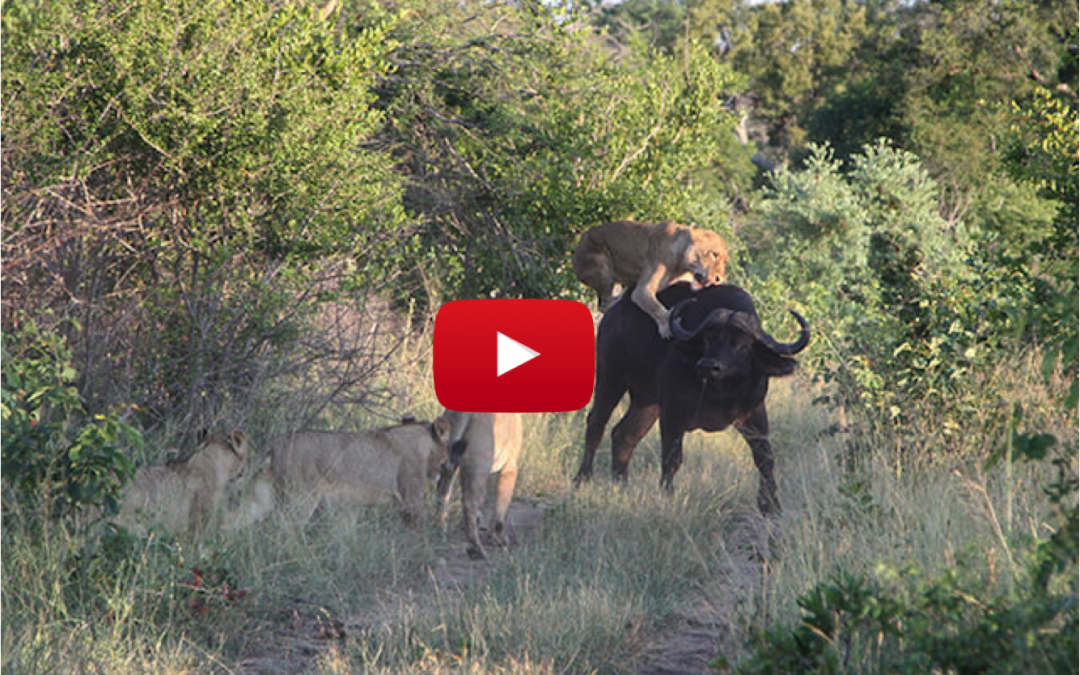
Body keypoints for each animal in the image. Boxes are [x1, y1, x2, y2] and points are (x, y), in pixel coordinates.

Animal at [436, 410, 524, 559]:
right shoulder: (510, 468)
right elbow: (501, 507)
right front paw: (499, 539)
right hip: (479, 467)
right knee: (469, 504)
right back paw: (476, 549)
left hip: (450, 468)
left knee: (442, 496)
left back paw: (440, 534)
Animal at [572, 219, 728, 338]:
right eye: (714, 254)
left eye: (725, 262)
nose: (718, 279)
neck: (681, 264)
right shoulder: (642, 291)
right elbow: (655, 307)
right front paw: (667, 327)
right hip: (602, 271)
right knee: (603, 305)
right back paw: (620, 297)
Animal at [574, 283, 809, 514]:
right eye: (708, 339)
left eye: (743, 345)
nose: (708, 366)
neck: (722, 392)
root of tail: (612, 316)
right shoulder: (672, 411)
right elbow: (672, 459)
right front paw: (667, 496)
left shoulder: (754, 411)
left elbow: (765, 458)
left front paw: (771, 506)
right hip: (610, 380)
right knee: (595, 426)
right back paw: (582, 479)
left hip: (646, 402)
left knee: (624, 435)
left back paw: (621, 484)